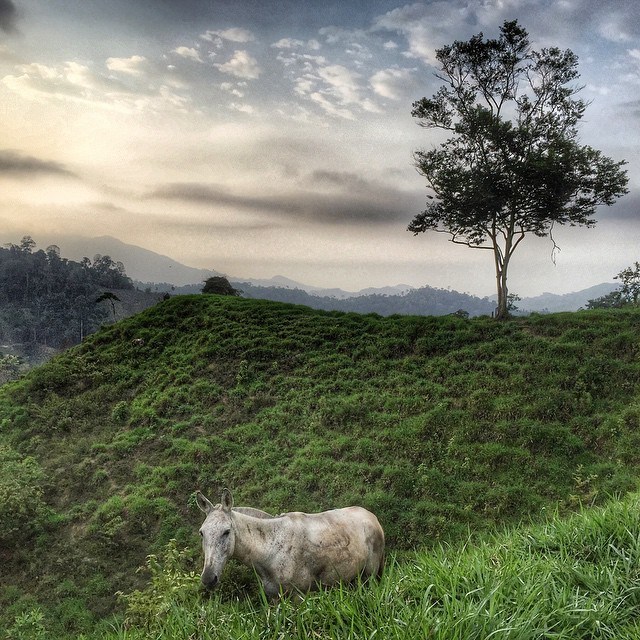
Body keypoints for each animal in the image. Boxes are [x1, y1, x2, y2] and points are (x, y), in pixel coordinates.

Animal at [195, 489, 385, 598]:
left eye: (226, 531)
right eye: (201, 533)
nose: (208, 578)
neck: (270, 552)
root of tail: (373, 517)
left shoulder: (297, 596)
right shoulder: (274, 599)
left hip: (370, 576)